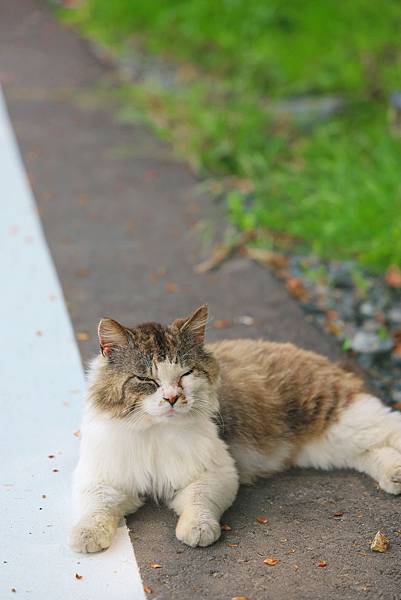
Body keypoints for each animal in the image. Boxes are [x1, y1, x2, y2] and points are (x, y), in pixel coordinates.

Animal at [70, 304, 400, 552]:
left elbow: (199, 502)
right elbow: (95, 508)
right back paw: (394, 475)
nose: (172, 398)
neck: (155, 433)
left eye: (185, 374)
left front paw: (197, 529)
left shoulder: (217, 472)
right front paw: (86, 535)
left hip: (347, 421)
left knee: (388, 428)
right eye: (145, 379)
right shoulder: (102, 478)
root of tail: (311, 355)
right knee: (369, 453)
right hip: (328, 446)